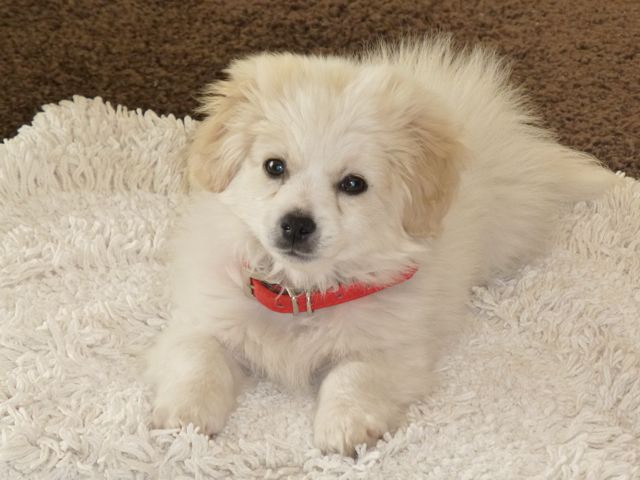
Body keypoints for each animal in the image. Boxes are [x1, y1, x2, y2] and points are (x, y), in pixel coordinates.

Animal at [145, 36, 617, 455]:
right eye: (274, 167)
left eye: (353, 184)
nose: (296, 225)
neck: (302, 293)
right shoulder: (204, 315)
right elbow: (199, 358)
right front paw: (185, 417)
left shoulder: (394, 346)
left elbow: (355, 375)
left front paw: (346, 427)